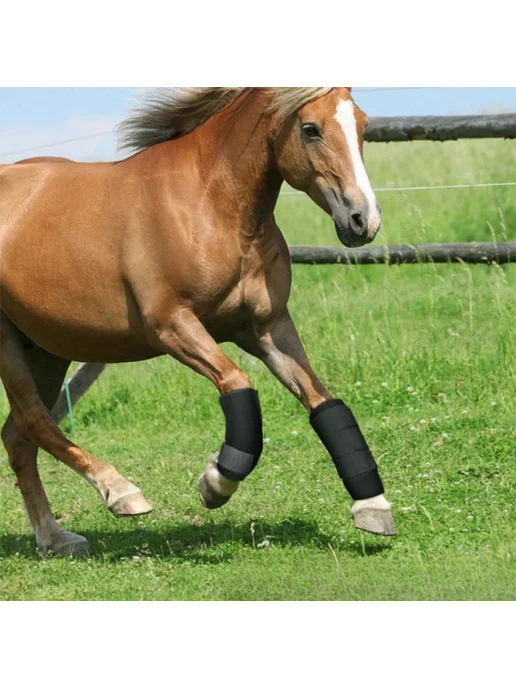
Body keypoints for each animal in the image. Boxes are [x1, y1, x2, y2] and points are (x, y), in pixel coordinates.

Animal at [0, 86, 397, 557]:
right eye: (310, 128)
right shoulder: (173, 325)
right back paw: (122, 494)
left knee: (18, 436)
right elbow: (238, 384)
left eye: (363, 124)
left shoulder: (267, 327)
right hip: (8, 344)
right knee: (33, 423)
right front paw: (214, 482)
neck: (210, 206)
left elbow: (323, 401)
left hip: (45, 348)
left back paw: (55, 538)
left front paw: (373, 507)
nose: (364, 221)